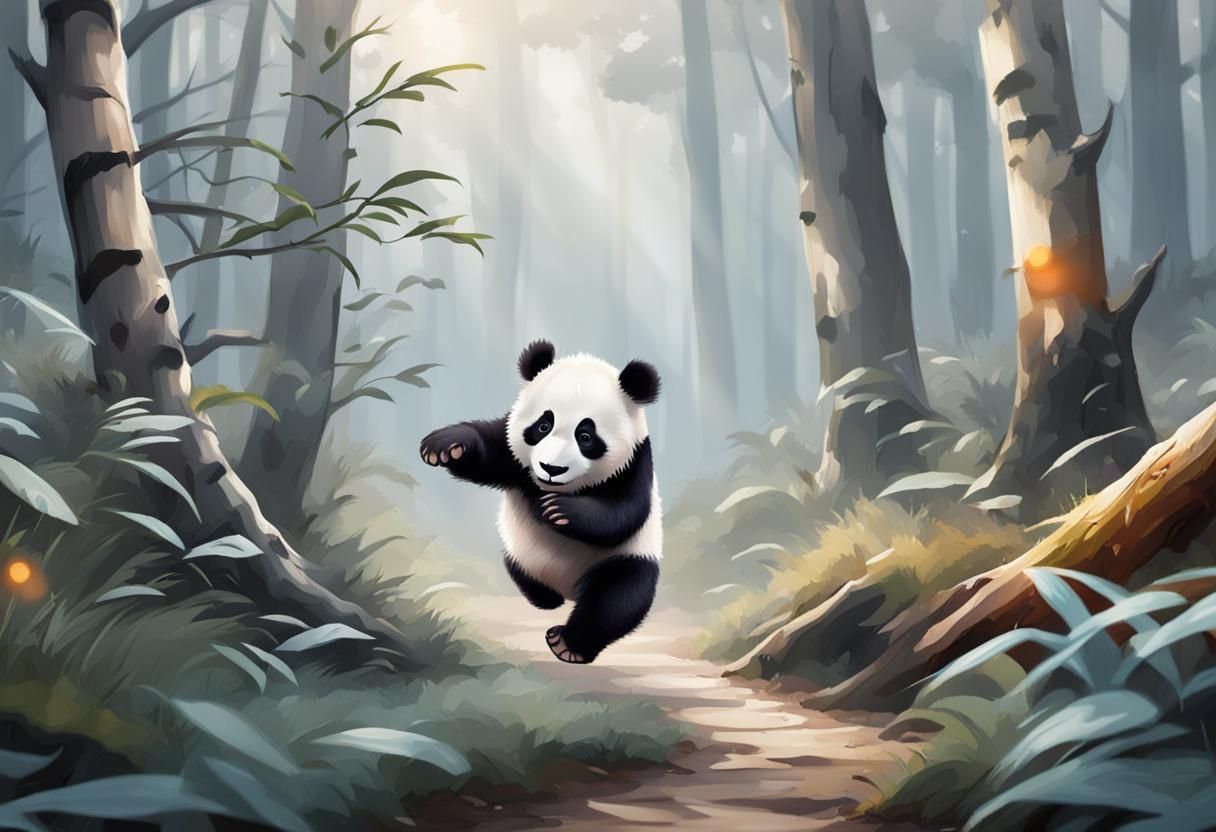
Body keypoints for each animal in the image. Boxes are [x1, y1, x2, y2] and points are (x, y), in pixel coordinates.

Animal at [420, 340, 661, 664]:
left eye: (585, 436)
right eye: (543, 426)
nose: (551, 468)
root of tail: (570, 590)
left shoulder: (634, 464)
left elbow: (624, 514)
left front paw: (560, 511)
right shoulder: (512, 453)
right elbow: (488, 454)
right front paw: (446, 445)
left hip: (625, 558)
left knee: (617, 599)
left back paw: (567, 643)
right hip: (523, 554)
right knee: (522, 569)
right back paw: (544, 598)